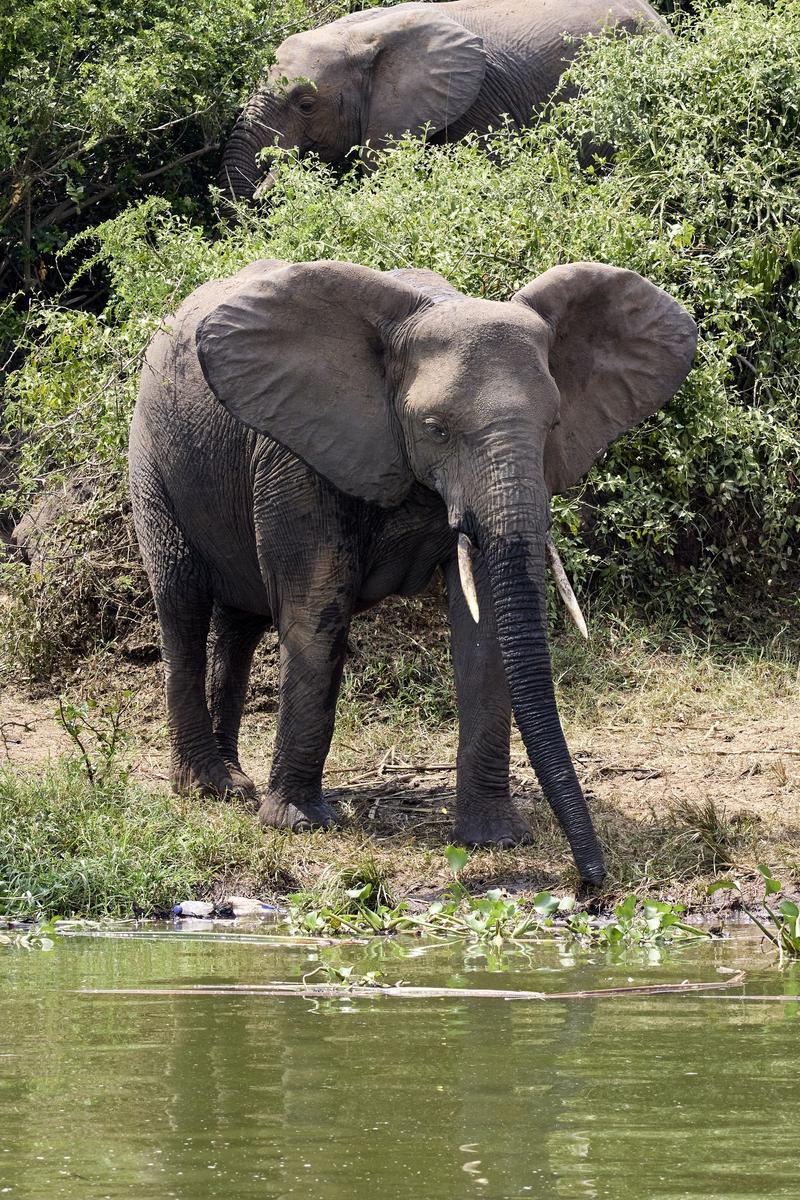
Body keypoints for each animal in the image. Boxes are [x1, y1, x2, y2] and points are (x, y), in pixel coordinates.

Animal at [130, 258, 695, 888]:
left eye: (552, 426)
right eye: (436, 428)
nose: (591, 882)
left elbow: (484, 626)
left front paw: (495, 838)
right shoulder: (297, 452)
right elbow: (316, 608)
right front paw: (299, 824)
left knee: (239, 623)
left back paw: (234, 781)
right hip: (152, 455)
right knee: (181, 602)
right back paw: (208, 788)